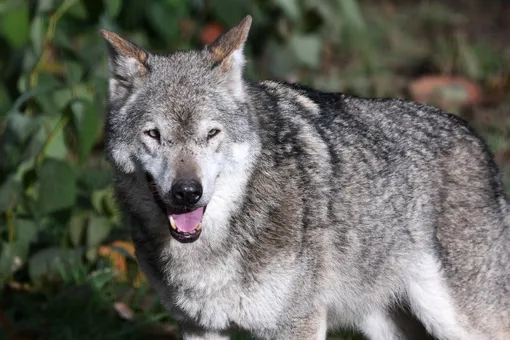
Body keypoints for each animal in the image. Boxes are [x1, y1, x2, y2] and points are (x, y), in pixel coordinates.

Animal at [100, 15, 510, 340]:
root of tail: (477, 140)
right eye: (154, 134)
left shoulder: (297, 324)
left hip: (458, 322)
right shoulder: (199, 327)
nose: (187, 192)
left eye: (212, 133)